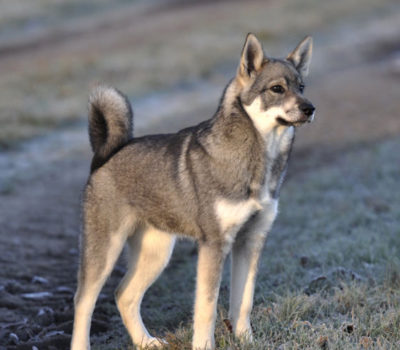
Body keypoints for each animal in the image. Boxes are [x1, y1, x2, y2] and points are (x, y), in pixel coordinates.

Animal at [72, 33, 316, 350]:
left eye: (302, 87)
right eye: (277, 88)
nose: (310, 108)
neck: (259, 159)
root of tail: (104, 157)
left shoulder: (251, 242)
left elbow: (244, 302)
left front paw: (246, 340)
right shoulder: (214, 245)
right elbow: (207, 307)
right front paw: (204, 345)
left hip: (156, 254)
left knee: (123, 295)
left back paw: (146, 341)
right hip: (104, 252)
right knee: (83, 301)